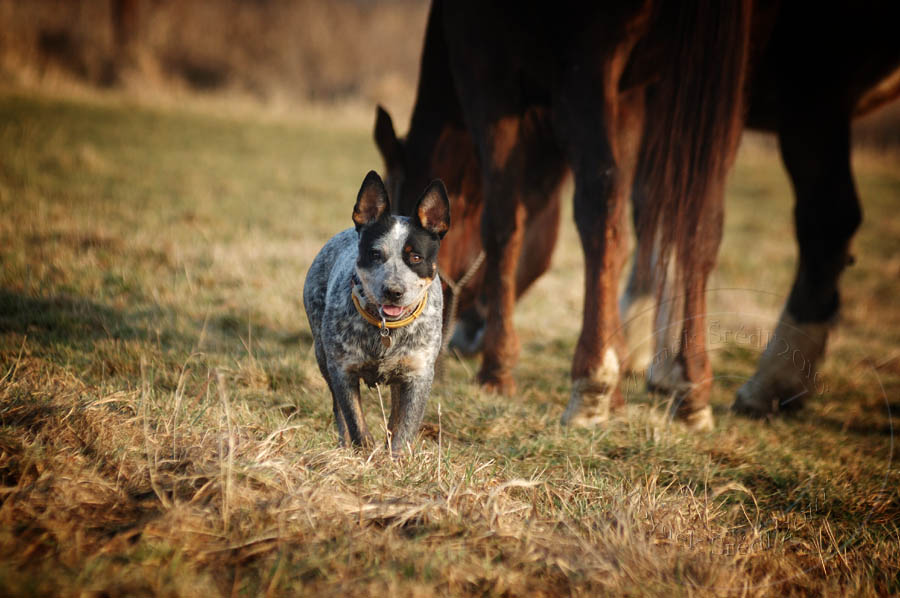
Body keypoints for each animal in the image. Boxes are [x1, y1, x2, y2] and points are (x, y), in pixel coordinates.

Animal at [304, 170, 450, 454]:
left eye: (415, 257)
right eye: (374, 254)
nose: (393, 291)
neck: (387, 330)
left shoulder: (418, 374)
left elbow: (404, 427)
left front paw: (396, 459)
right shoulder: (342, 369)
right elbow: (354, 420)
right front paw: (364, 452)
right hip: (321, 353)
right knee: (338, 410)